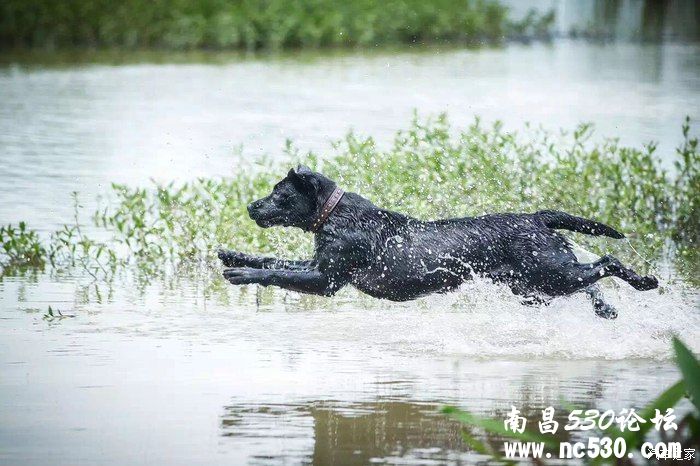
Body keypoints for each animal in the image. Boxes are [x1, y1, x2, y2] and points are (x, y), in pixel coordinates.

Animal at [219, 166, 656, 318]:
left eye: (279, 193)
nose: (251, 206)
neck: (337, 214)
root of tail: (536, 217)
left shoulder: (326, 280)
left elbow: (274, 272)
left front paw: (239, 275)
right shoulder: (316, 266)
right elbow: (271, 259)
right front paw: (232, 254)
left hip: (548, 273)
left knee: (607, 261)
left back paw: (645, 281)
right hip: (536, 284)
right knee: (590, 281)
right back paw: (606, 308)